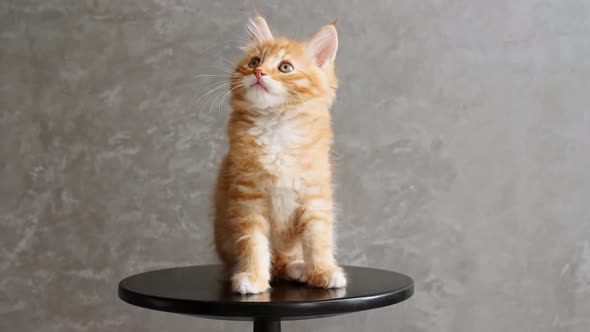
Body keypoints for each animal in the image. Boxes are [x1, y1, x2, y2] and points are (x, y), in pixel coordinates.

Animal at [214, 14, 346, 294]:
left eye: (285, 67)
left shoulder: (314, 196)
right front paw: (253, 277)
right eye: (254, 61)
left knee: (285, 261)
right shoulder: (247, 198)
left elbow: (318, 239)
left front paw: (323, 271)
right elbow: (252, 243)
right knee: (275, 264)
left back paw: (301, 269)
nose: (258, 72)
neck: (276, 125)